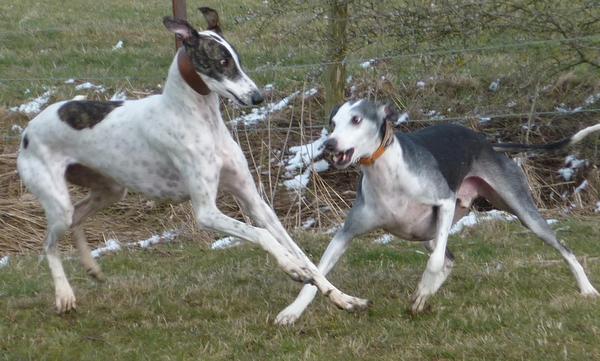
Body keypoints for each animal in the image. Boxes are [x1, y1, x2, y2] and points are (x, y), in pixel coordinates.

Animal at [16, 7, 368, 312]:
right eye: (222, 61)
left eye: (238, 60)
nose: (257, 98)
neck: (200, 120)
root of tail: (28, 130)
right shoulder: (206, 212)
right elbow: (263, 236)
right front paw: (290, 267)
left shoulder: (255, 201)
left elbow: (301, 252)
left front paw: (339, 296)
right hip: (58, 202)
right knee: (49, 243)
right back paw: (64, 294)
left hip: (110, 190)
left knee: (77, 218)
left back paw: (91, 267)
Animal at [274, 97, 596, 324]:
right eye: (332, 123)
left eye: (356, 119)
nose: (329, 145)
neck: (388, 172)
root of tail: (487, 142)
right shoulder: (347, 232)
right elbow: (316, 274)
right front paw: (292, 311)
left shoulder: (443, 202)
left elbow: (434, 262)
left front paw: (423, 288)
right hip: (426, 231)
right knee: (450, 258)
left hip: (521, 212)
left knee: (564, 248)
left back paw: (587, 289)